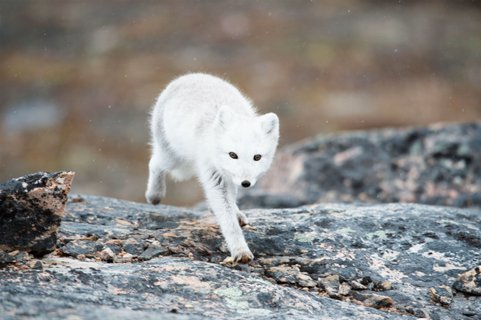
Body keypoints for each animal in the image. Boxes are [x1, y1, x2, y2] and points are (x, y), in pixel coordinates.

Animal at [147, 73, 282, 262]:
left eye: (257, 157)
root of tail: (189, 76)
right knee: (154, 163)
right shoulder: (215, 175)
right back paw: (154, 195)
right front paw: (240, 251)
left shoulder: (230, 178)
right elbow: (228, 221)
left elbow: (230, 202)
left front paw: (235, 214)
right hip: (174, 158)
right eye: (233, 155)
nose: (246, 183)